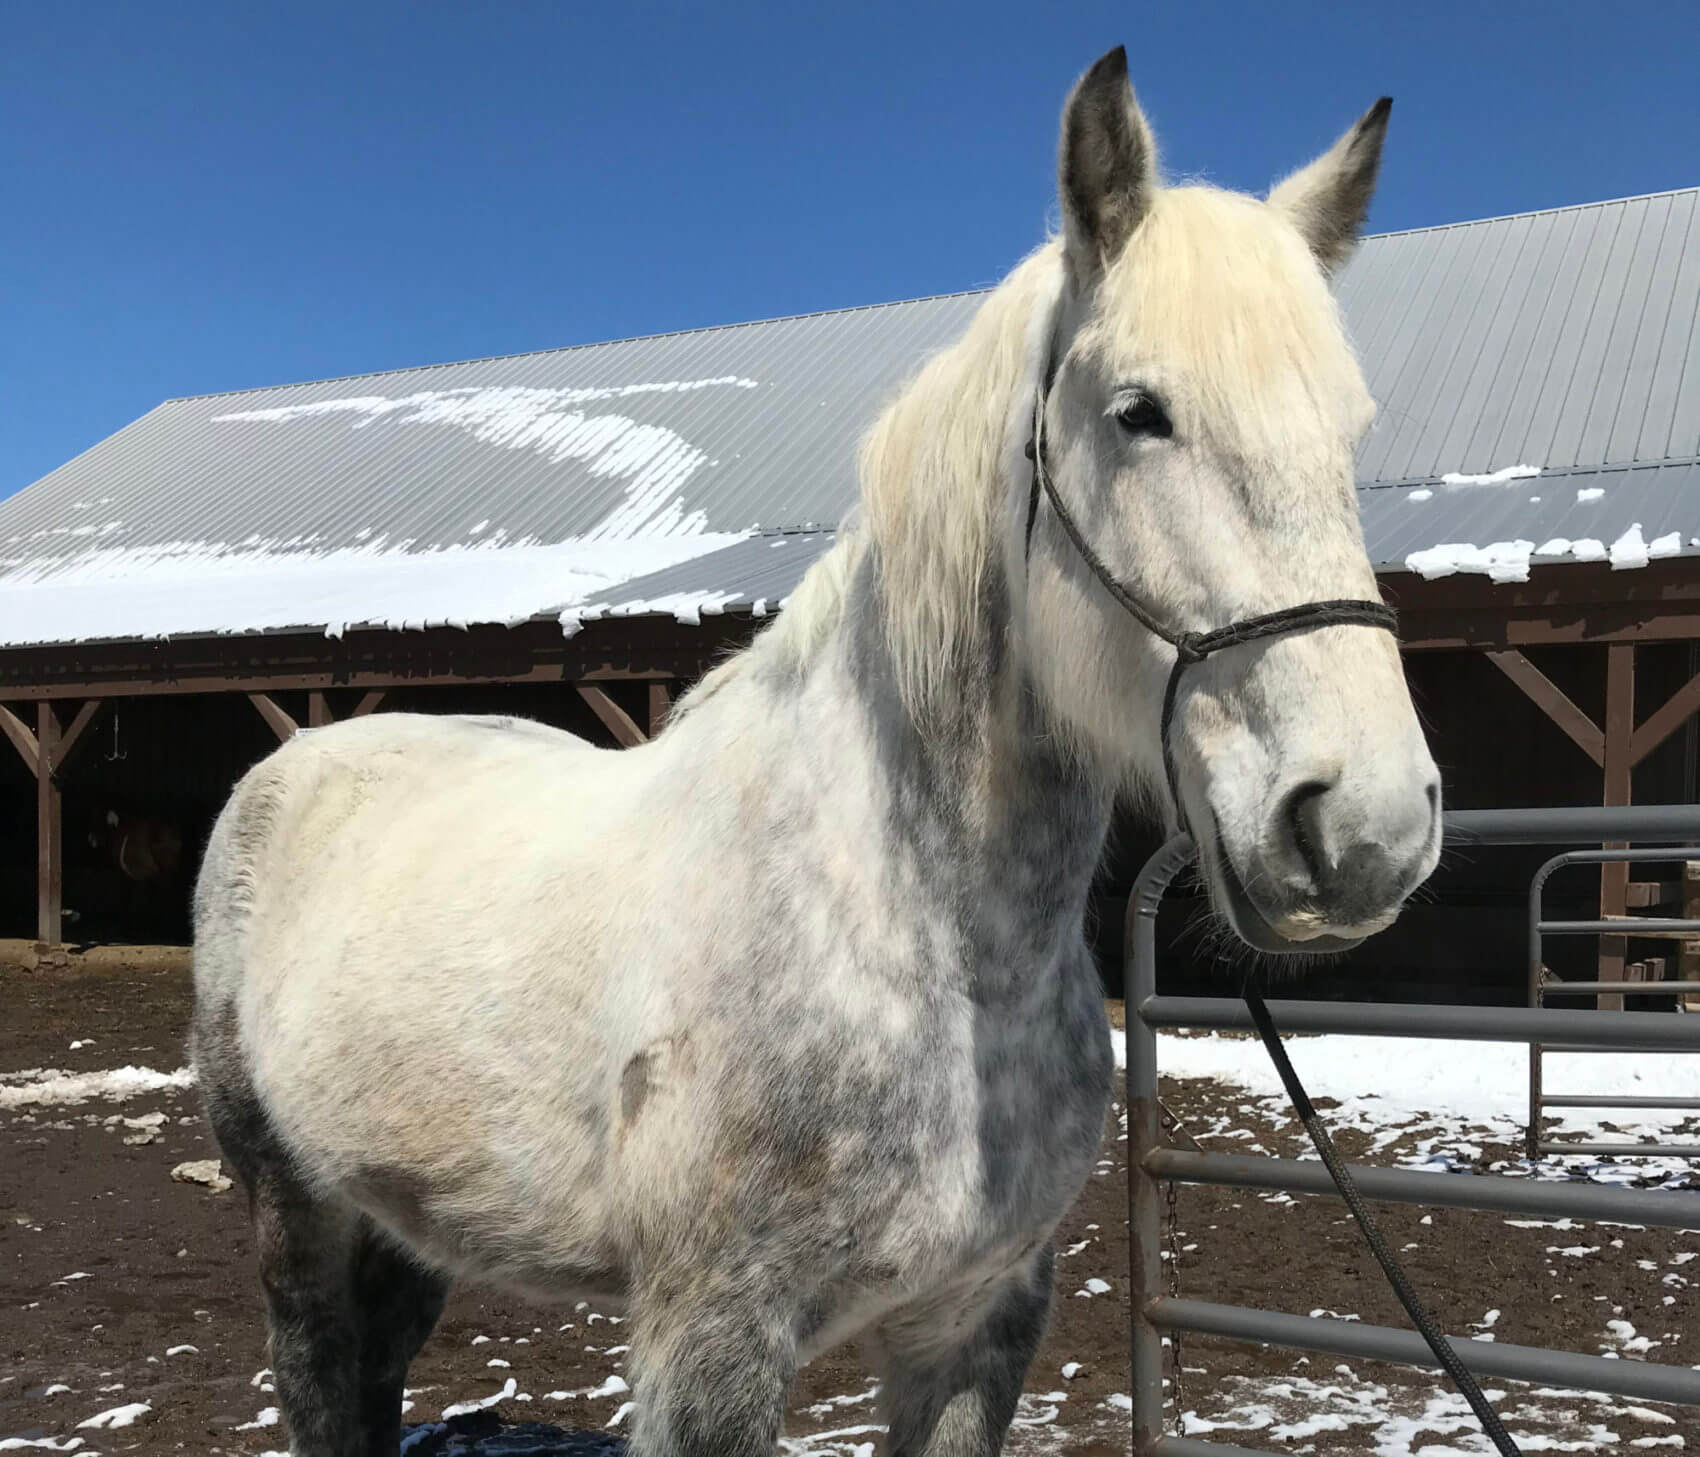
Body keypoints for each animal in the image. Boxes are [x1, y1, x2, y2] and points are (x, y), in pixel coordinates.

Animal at [192, 51, 1441, 1455]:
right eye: (1139, 413)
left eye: (1349, 431)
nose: (1364, 827)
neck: (906, 939)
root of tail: (298, 758)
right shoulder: (712, 1342)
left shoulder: (977, 1316)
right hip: (294, 1209)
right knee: (320, 1373)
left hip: (404, 1213)